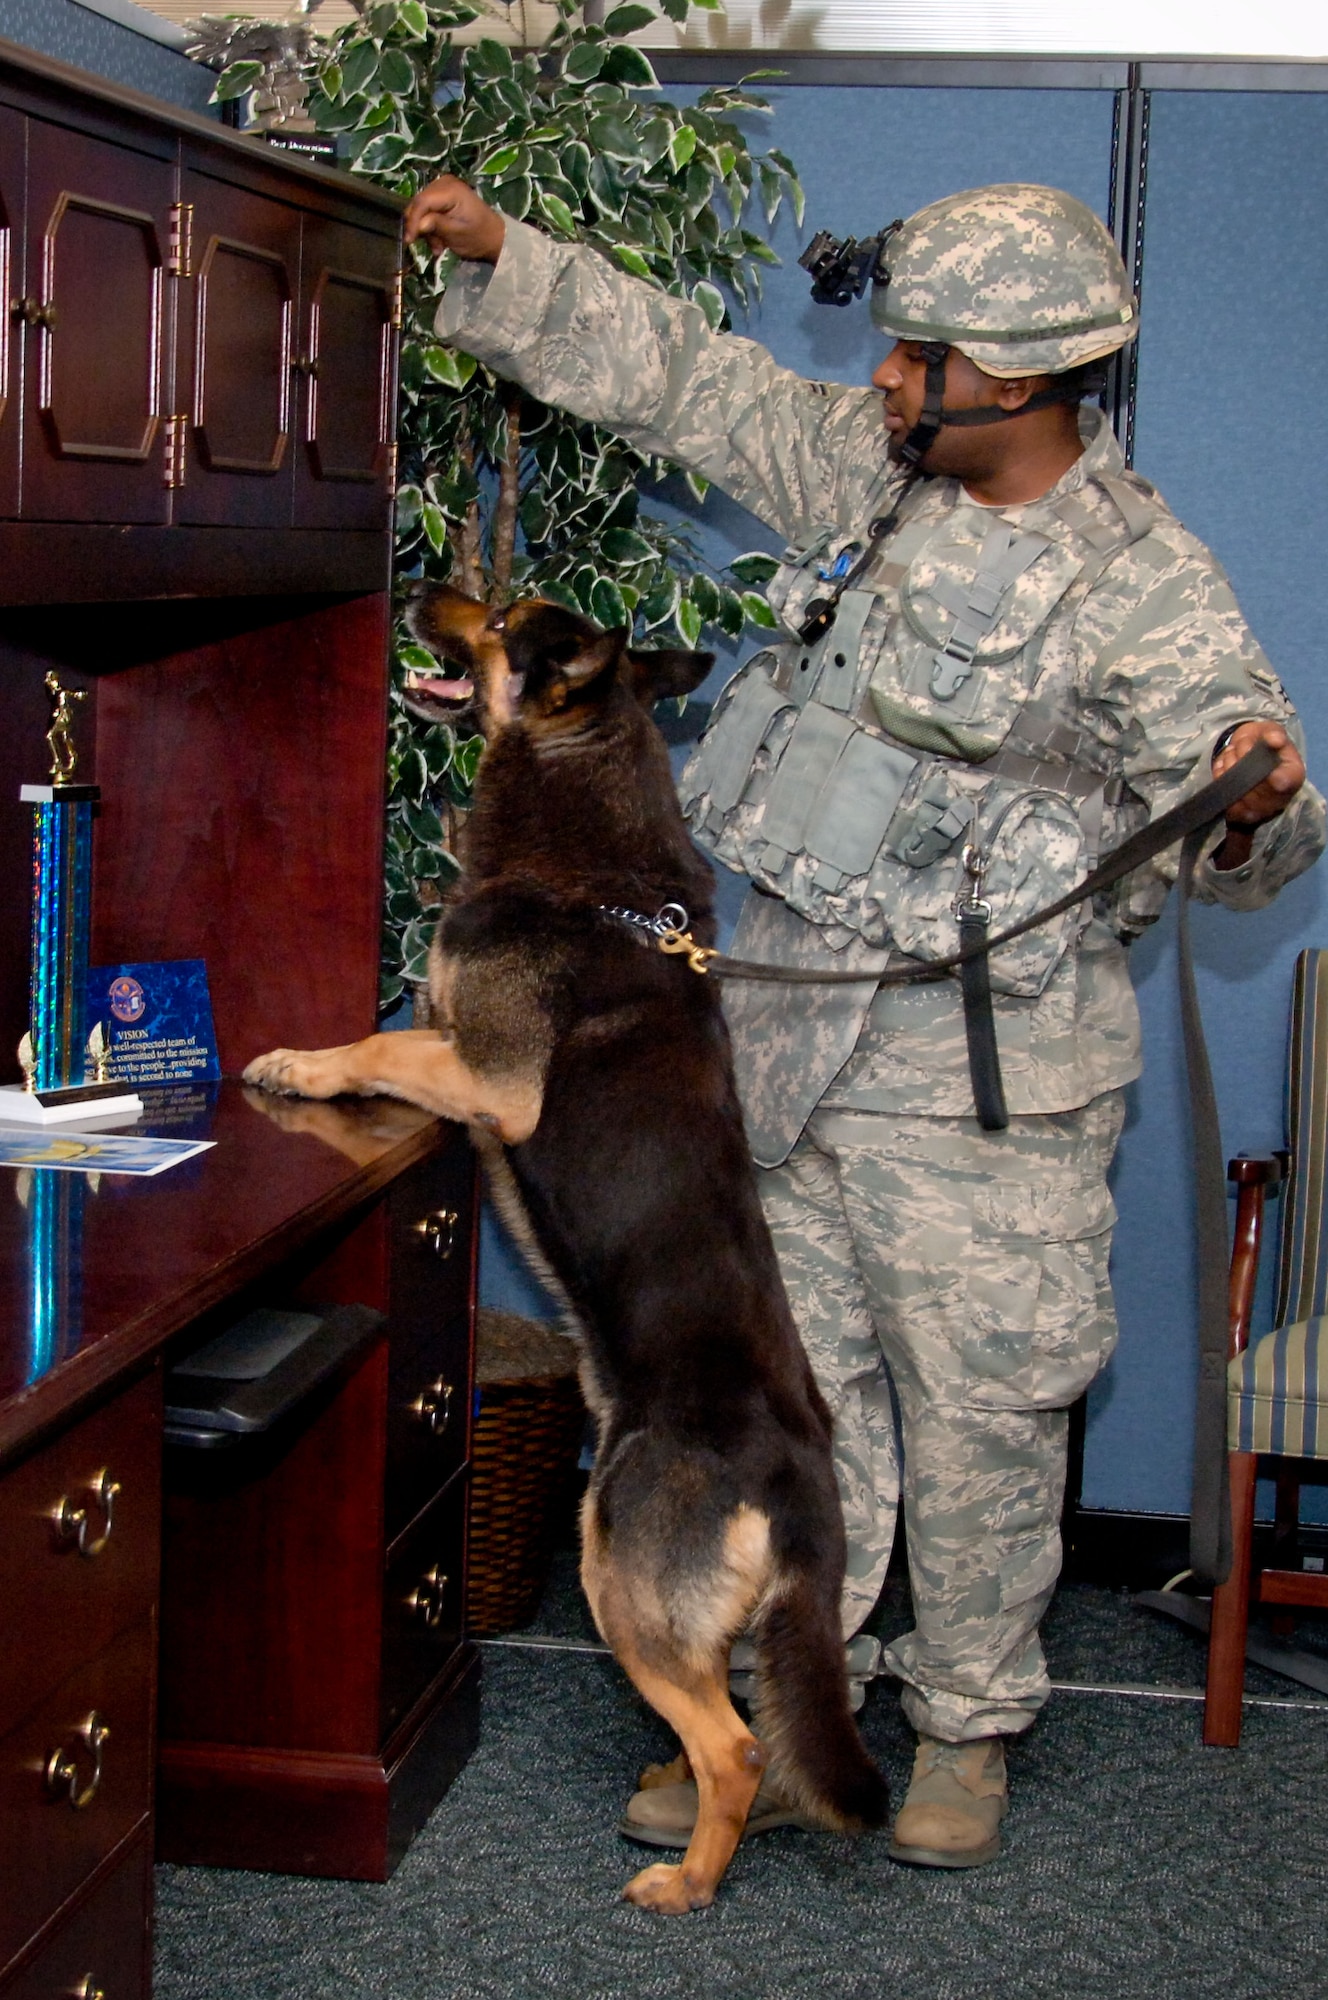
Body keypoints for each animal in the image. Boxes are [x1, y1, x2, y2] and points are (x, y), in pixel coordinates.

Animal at [244, 584, 888, 1912]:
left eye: (500, 618)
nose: (426, 582)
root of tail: (794, 1474)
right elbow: (395, 1029)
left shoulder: (486, 1073)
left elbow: (378, 1040)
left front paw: (297, 1063)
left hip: (614, 1575)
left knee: (738, 1744)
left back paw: (687, 1879)